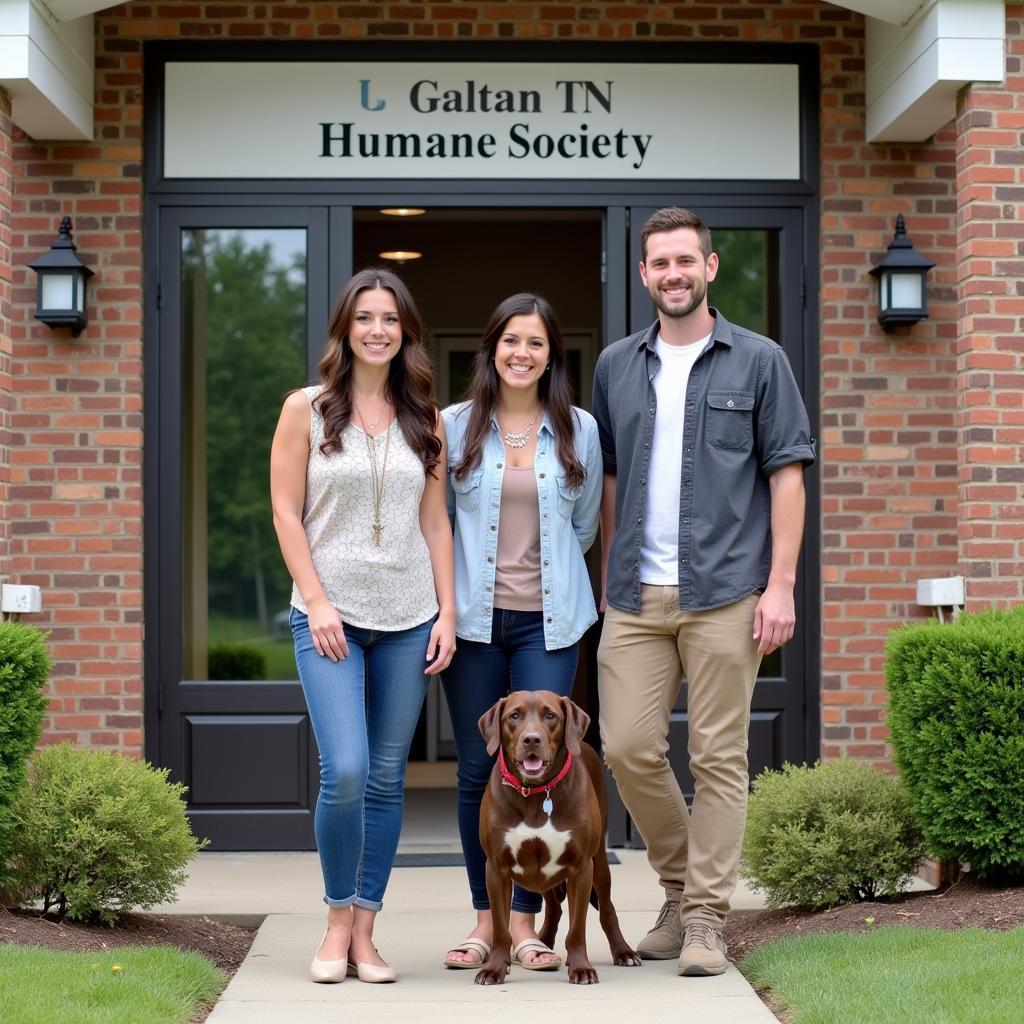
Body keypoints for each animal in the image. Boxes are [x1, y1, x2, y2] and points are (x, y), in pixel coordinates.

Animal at [473, 688, 638, 983]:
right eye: (514, 716)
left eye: (550, 716)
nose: (532, 739)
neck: (536, 793)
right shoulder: (496, 868)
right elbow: (501, 929)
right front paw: (494, 968)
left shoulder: (581, 867)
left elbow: (577, 928)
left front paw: (581, 967)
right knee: (553, 908)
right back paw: (543, 944)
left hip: (600, 863)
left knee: (606, 908)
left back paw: (623, 952)